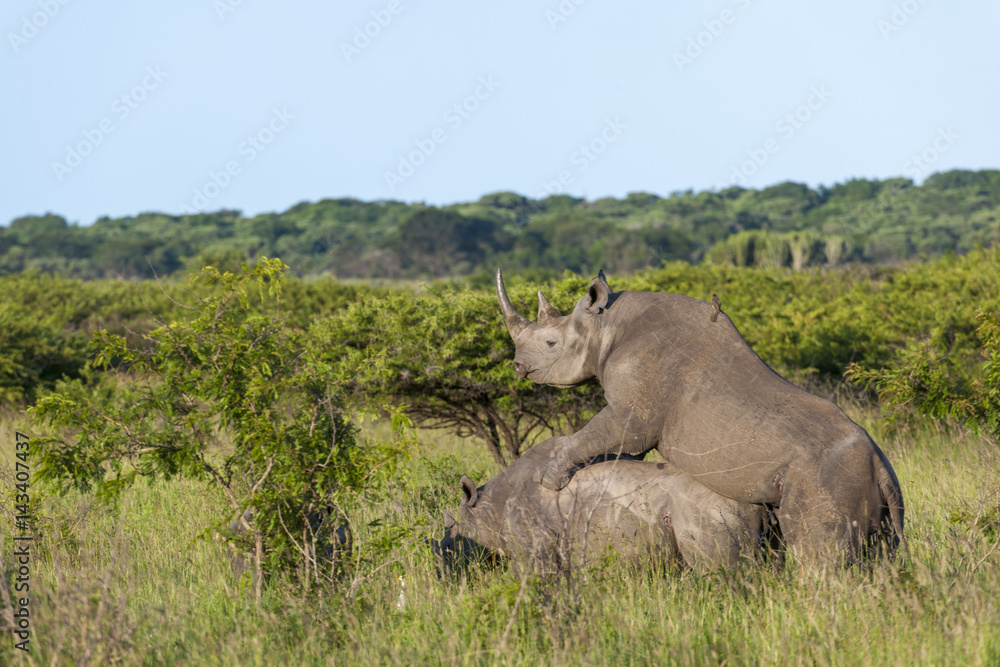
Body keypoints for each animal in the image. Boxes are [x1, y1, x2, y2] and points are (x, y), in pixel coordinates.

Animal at [436, 437, 775, 572]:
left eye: (451, 545)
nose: (446, 573)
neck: (487, 506)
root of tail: (759, 505)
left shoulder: (534, 545)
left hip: (710, 512)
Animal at [495, 270, 905, 569]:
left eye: (551, 344)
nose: (517, 366)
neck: (605, 325)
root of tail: (879, 468)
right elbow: (613, 450)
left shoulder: (634, 413)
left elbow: (593, 435)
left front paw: (546, 479)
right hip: (870, 484)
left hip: (826, 477)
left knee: (821, 559)